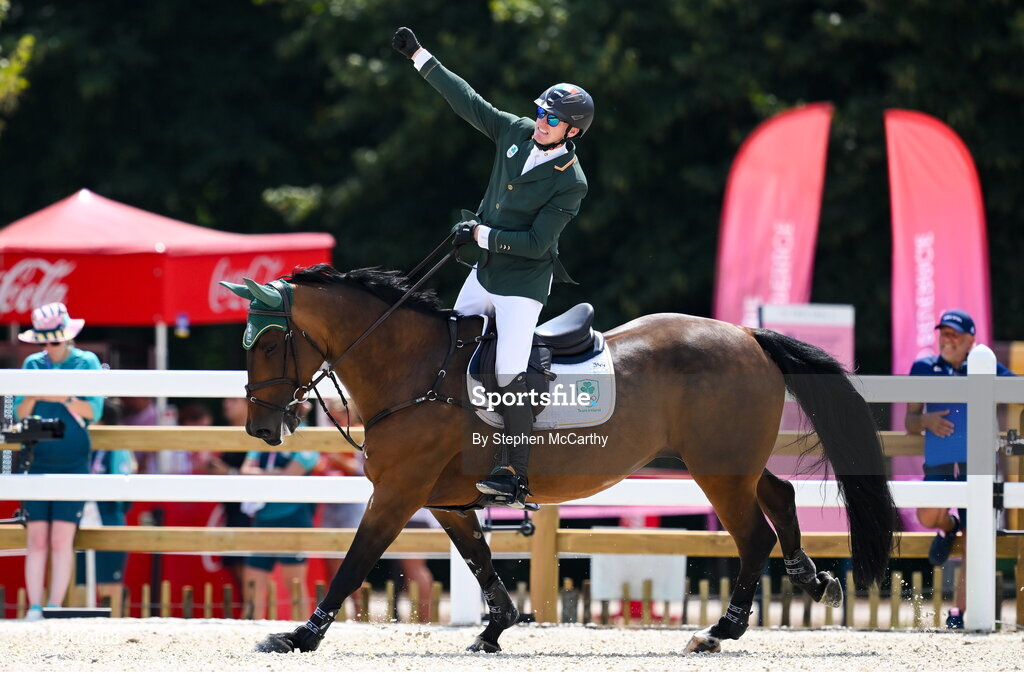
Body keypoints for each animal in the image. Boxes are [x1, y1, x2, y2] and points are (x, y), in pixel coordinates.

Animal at [222, 263, 896, 655]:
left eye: (271, 343)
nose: (262, 427)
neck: (416, 370)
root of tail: (748, 335)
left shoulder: (396, 495)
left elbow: (354, 562)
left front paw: (300, 634)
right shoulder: (445, 501)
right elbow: (481, 562)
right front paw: (496, 628)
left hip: (718, 471)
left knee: (754, 534)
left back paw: (717, 631)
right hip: (730, 462)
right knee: (779, 494)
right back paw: (813, 577)